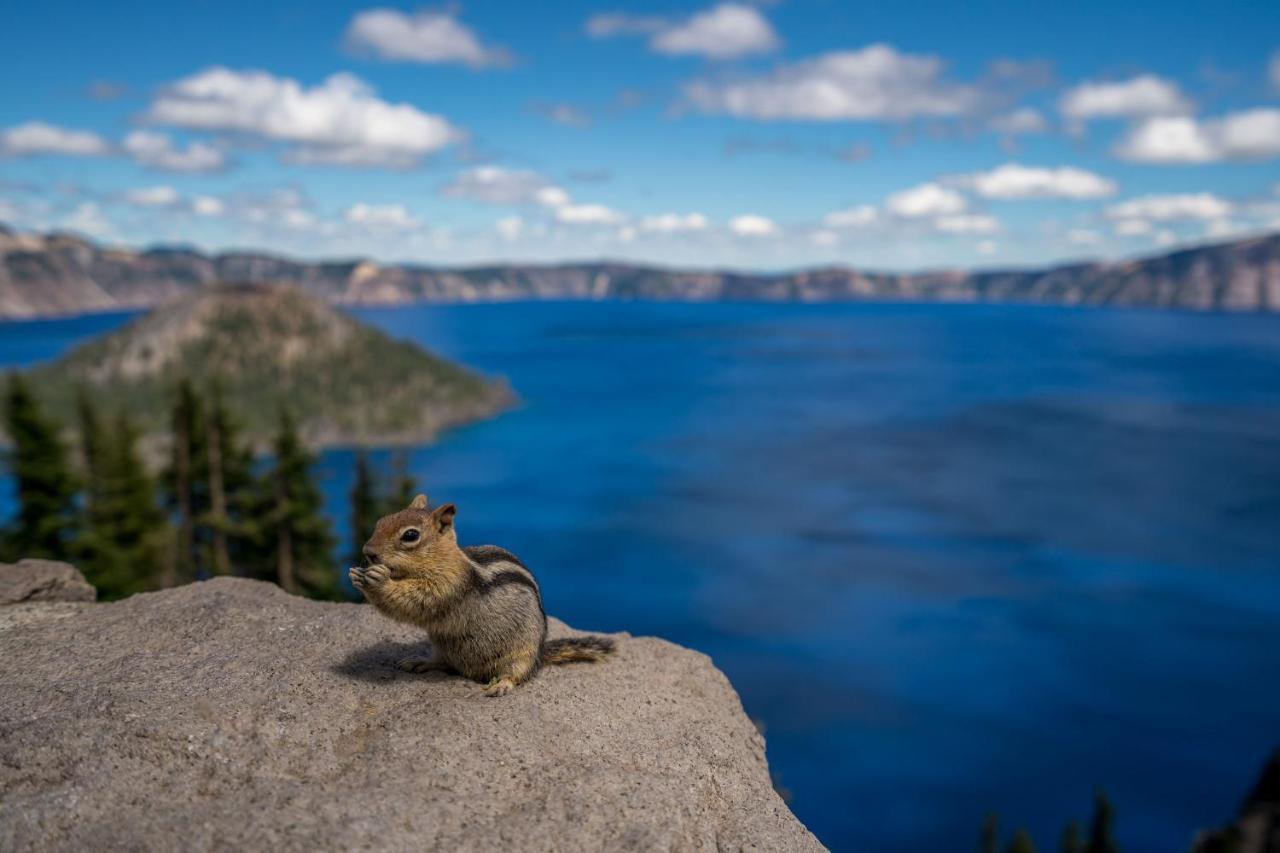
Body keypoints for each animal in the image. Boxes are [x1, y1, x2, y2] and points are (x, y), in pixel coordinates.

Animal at [348, 494, 611, 696]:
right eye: (381, 520)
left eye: (410, 535)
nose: (367, 552)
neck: (442, 560)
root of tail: (540, 653)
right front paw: (356, 575)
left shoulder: (447, 586)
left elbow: (416, 601)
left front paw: (379, 579)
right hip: (442, 646)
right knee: (443, 662)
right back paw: (419, 661)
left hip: (522, 653)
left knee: (517, 673)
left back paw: (501, 685)